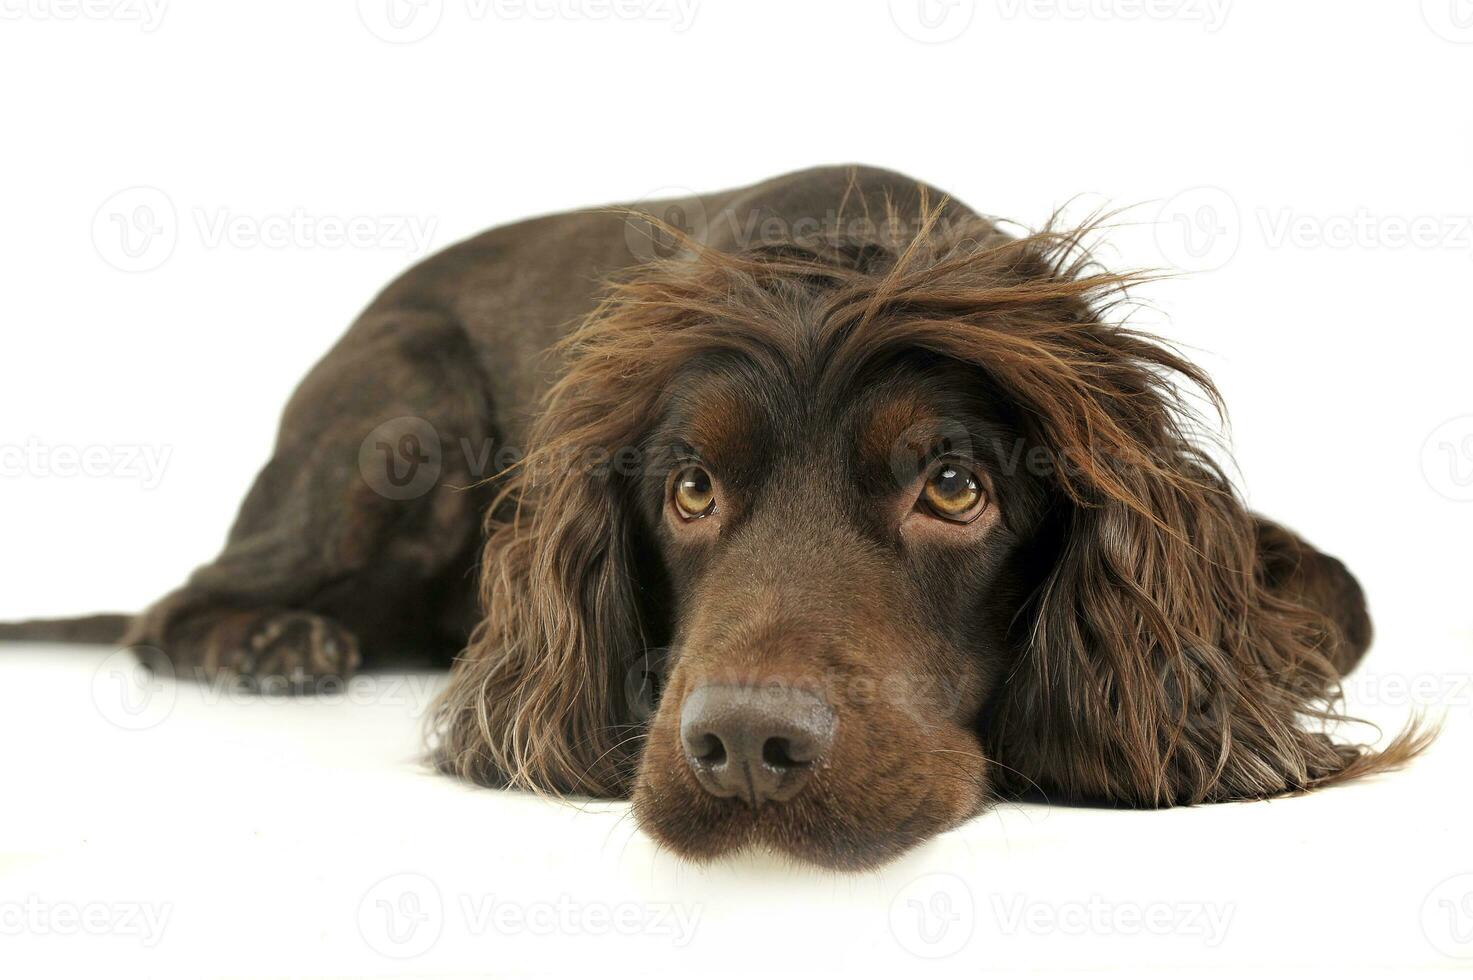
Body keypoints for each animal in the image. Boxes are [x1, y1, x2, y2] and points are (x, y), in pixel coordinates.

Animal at [0, 166, 1425, 866]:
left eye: (954, 487)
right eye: (690, 490)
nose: (745, 747)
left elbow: (1339, 593)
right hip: (405, 415)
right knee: (180, 597)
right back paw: (273, 641)